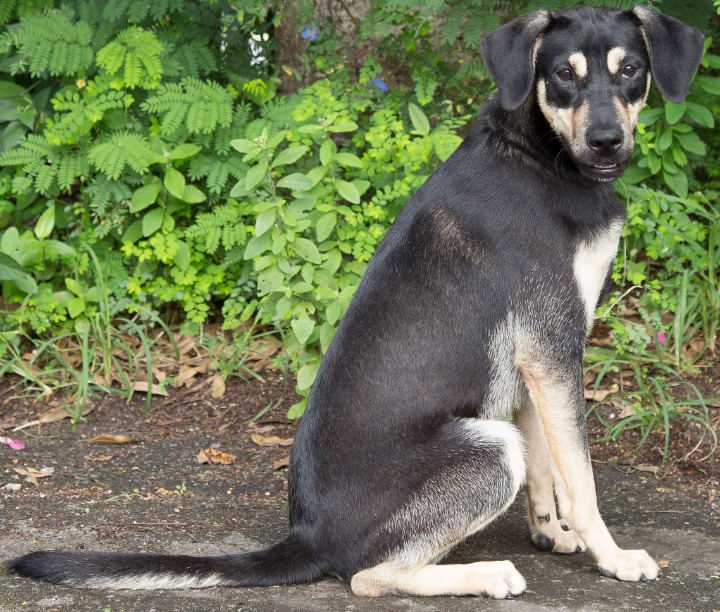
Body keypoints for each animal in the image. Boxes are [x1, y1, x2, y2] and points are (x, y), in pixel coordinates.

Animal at [7, 4, 704, 596]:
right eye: (563, 75)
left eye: (631, 70)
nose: (608, 141)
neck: (538, 151)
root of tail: (308, 538)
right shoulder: (556, 346)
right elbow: (580, 478)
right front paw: (613, 557)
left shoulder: (537, 355)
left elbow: (548, 465)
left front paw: (549, 533)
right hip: (486, 448)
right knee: (366, 576)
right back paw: (483, 575)